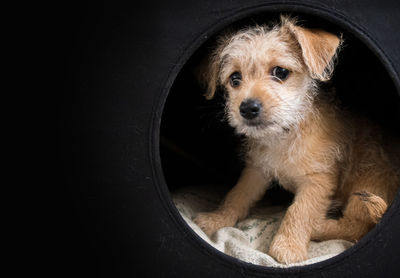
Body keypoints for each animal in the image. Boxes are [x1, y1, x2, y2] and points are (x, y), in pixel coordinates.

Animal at [194, 16, 400, 264]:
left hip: (366, 187)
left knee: (357, 227)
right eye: (235, 78)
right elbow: (237, 195)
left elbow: (300, 211)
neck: (286, 133)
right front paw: (217, 218)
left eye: (280, 72)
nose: (248, 108)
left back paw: (319, 227)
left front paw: (288, 246)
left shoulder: (317, 180)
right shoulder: (256, 170)